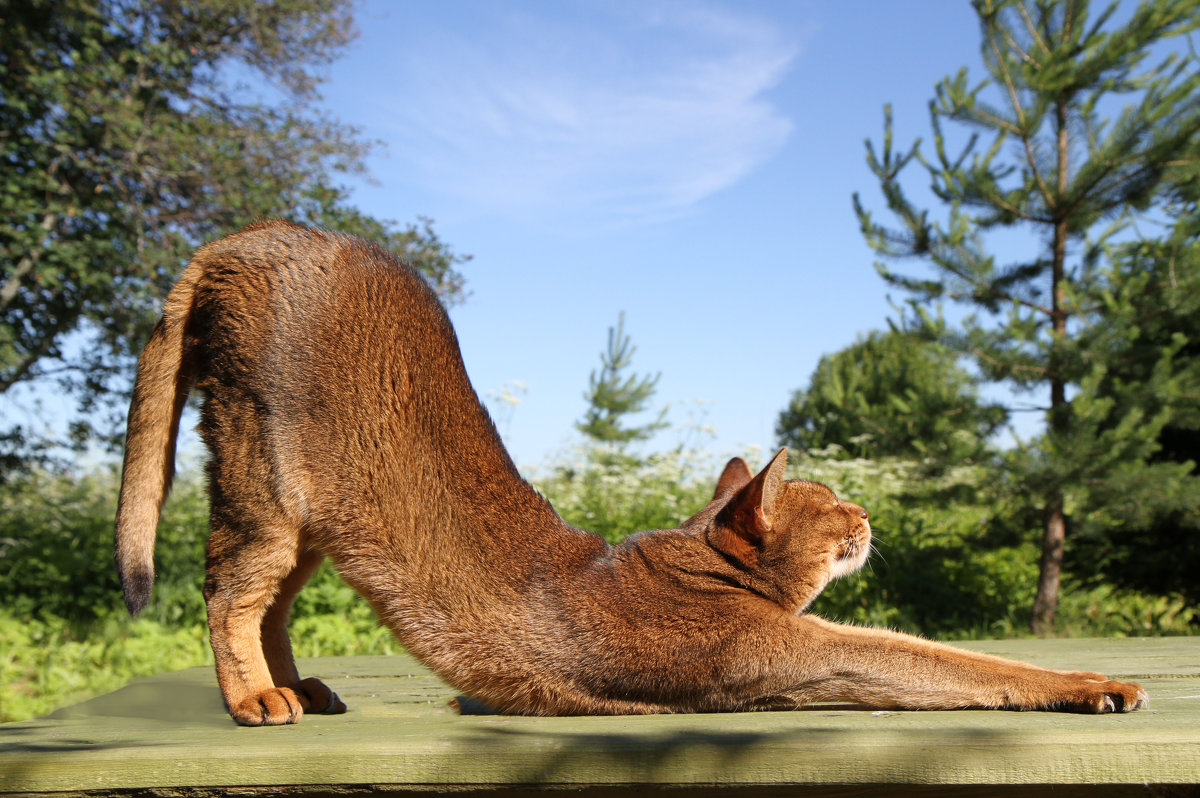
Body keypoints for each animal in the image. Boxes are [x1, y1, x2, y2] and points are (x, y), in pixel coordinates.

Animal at [117, 220, 1147, 724]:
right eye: (832, 502)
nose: (867, 517)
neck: (696, 561)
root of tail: (246, 238)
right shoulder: (790, 655)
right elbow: (942, 663)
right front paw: (1095, 682)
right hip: (261, 474)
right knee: (230, 592)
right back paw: (257, 699)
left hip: (308, 521)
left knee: (272, 604)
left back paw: (302, 688)